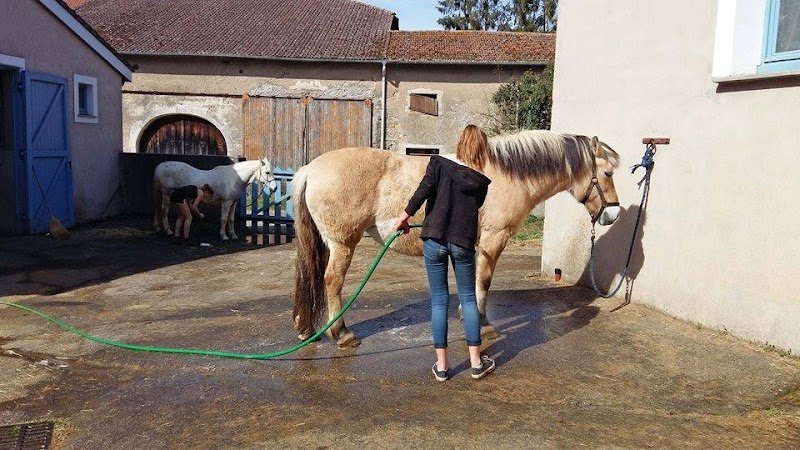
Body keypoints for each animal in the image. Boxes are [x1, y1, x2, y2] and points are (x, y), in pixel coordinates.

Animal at [291, 130, 622, 348]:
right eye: (607, 173)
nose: (613, 214)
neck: (503, 174)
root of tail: (311, 168)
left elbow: (473, 281)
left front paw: (469, 316)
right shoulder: (493, 239)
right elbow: (484, 281)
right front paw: (484, 326)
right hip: (343, 243)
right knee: (332, 281)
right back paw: (342, 334)